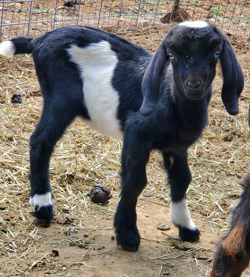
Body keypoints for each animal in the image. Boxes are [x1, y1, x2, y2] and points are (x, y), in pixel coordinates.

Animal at [0, 21, 243, 250]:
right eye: (172, 55)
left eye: (216, 54)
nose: (193, 85)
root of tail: (39, 40)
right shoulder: (136, 134)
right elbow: (135, 181)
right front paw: (127, 235)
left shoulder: (176, 145)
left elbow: (182, 179)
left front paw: (186, 227)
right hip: (60, 99)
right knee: (41, 141)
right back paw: (43, 206)